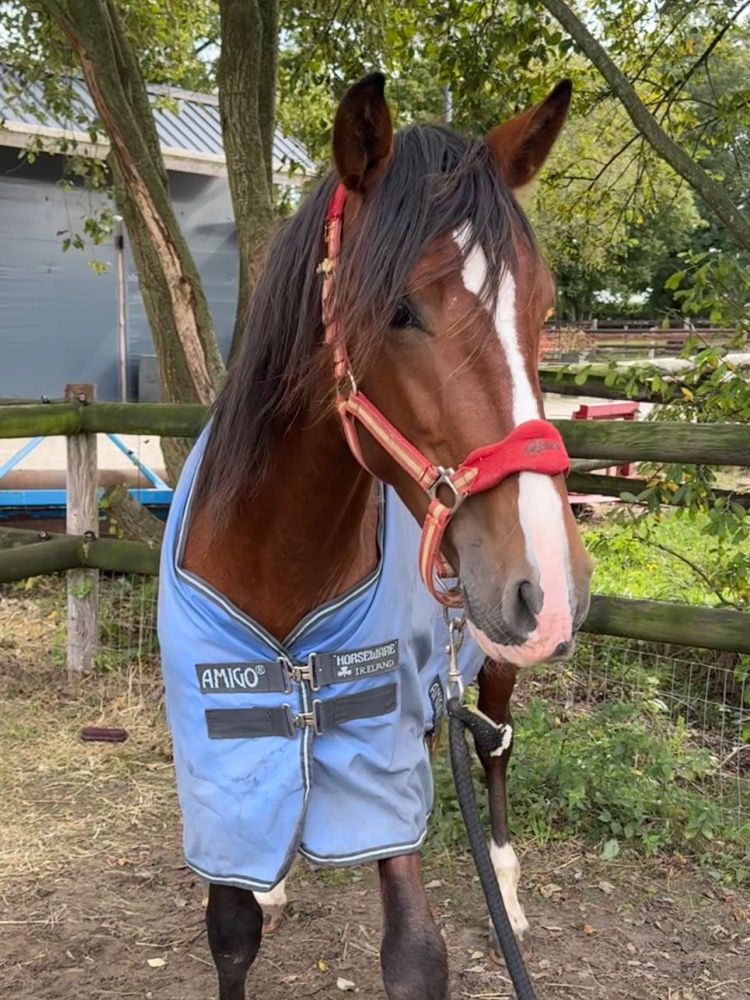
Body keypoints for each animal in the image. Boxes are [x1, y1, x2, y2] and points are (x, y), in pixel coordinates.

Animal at [157, 72, 592, 1000]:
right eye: (399, 310)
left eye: (541, 309)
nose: (550, 587)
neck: (277, 566)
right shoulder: (220, 761)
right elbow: (232, 930)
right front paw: (263, 892)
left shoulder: (377, 761)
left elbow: (416, 955)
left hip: (498, 660)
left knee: (496, 748)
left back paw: (506, 883)